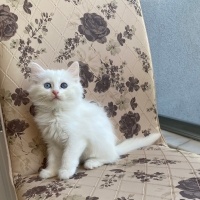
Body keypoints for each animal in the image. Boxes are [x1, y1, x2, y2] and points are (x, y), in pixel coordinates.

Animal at [28, 61, 160, 180]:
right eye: (47, 86)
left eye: (64, 85)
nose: (55, 92)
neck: (57, 114)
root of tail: (113, 147)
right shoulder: (52, 143)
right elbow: (53, 160)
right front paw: (50, 171)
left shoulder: (75, 140)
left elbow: (68, 157)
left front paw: (65, 172)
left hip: (98, 144)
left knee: (111, 157)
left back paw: (92, 162)